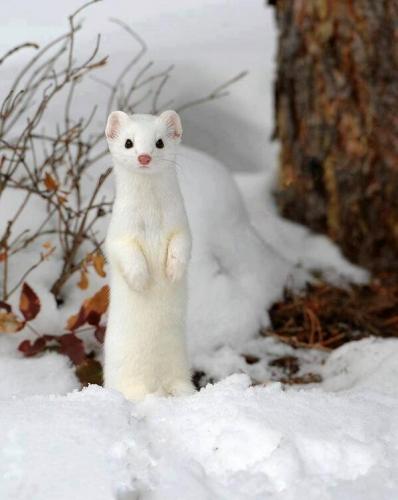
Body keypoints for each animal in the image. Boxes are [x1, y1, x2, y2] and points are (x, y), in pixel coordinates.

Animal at [104, 111, 194, 400]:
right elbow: (126, 253)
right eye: (128, 142)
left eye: (160, 142)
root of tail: (157, 387)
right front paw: (140, 279)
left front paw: (173, 270)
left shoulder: (182, 225)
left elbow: (182, 245)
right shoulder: (118, 233)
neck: (152, 219)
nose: (144, 157)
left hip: (179, 369)